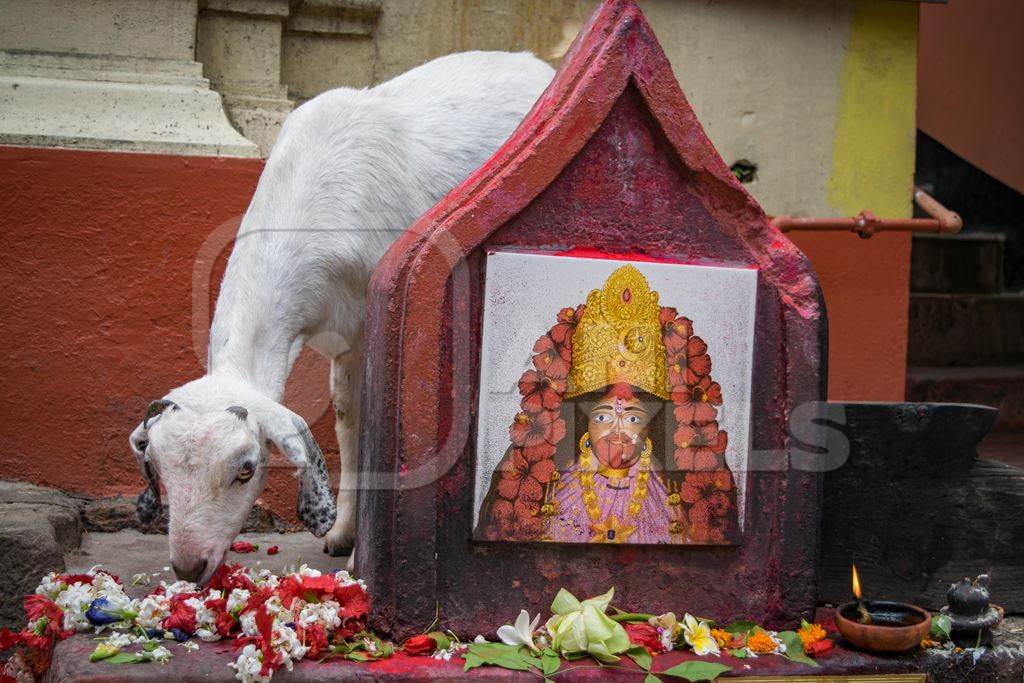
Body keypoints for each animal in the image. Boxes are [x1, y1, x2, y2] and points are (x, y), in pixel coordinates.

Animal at [133, 52, 561, 581]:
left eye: (246, 468)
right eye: (159, 467)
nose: (190, 566)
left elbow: (379, 421)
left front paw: (363, 556)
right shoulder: (339, 340)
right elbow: (347, 418)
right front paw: (342, 533)